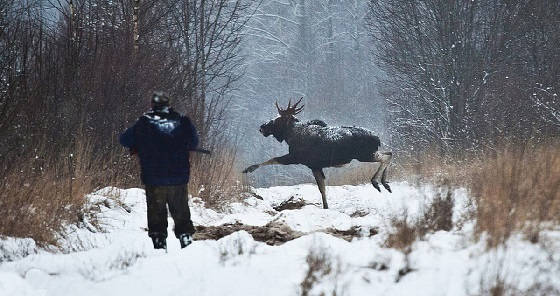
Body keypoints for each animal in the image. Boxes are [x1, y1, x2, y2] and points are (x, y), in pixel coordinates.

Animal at [242, 98, 394, 209]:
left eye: (278, 119)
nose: (262, 127)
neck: (291, 136)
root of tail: (377, 137)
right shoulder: (315, 166)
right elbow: (322, 187)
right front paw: (326, 206)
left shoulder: (299, 159)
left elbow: (272, 159)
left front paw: (249, 168)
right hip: (369, 153)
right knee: (390, 152)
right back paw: (385, 183)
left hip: (364, 155)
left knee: (386, 157)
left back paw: (376, 182)